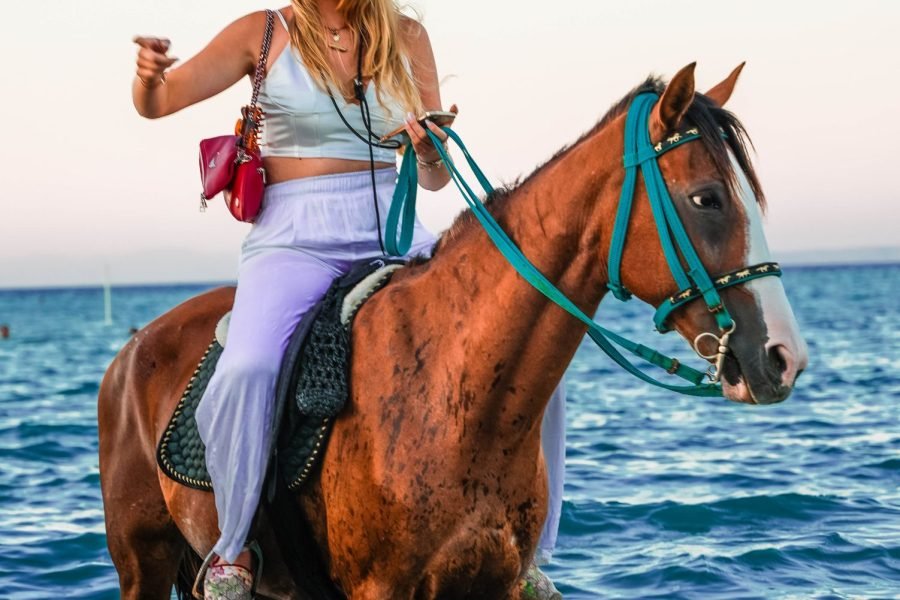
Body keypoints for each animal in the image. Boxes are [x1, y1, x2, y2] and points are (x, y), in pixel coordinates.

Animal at [98, 63, 808, 596]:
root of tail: (132, 350)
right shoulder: (380, 589)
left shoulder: (494, 582)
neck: (456, 392)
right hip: (142, 560)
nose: (784, 357)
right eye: (707, 198)